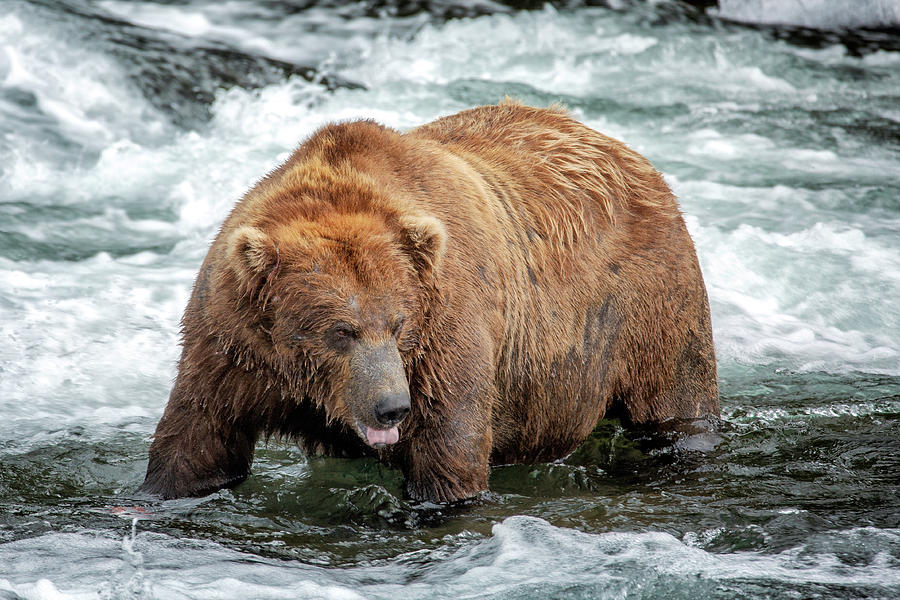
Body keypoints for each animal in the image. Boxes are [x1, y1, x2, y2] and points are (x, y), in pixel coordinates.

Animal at [139, 102, 716, 502]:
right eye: (341, 331)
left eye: (398, 324)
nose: (392, 406)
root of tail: (624, 150)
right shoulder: (229, 346)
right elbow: (197, 441)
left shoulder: (449, 332)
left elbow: (450, 451)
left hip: (650, 307)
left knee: (677, 401)